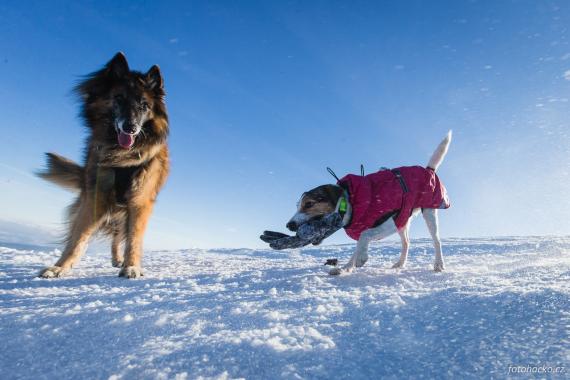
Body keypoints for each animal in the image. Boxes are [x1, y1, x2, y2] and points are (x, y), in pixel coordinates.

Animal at [38, 52, 169, 280]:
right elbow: (78, 236)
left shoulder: (140, 200)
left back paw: (120, 260)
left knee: (119, 236)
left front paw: (132, 266)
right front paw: (60, 267)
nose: (131, 128)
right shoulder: (96, 196)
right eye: (119, 98)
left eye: (144, 106)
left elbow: (134, 238)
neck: (122, 154)